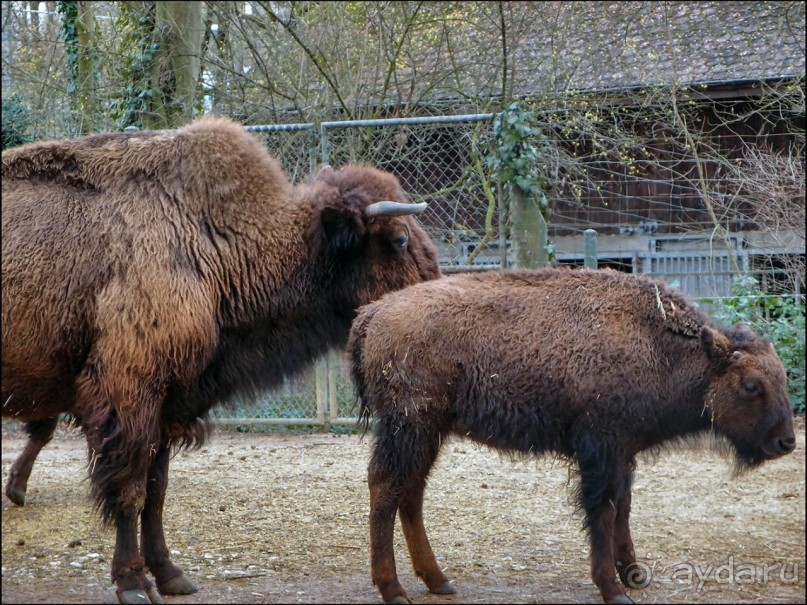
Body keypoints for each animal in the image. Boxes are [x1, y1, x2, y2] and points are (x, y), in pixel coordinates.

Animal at [1, 115, 442, 600]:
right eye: (399, 240)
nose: (435, 290)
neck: (214, 241)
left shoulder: (170, 406)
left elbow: (156, 491)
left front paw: (171, 575)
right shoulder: (131, 399)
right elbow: (130, 490)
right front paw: (132, 582)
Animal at [348, 268, 796, 604]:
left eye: (781, 378)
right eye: (751, 385)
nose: (786, 442)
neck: (661, 345)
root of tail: (372, 313)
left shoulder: (623, 454)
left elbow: (623, 508)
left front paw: (634, 574)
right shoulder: (600, 449)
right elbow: (603, 511)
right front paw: (613, 589)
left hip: (428, 433)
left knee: (410, 494)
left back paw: (439, 581)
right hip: (410, 427)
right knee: (385, 490)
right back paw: (394, 590)